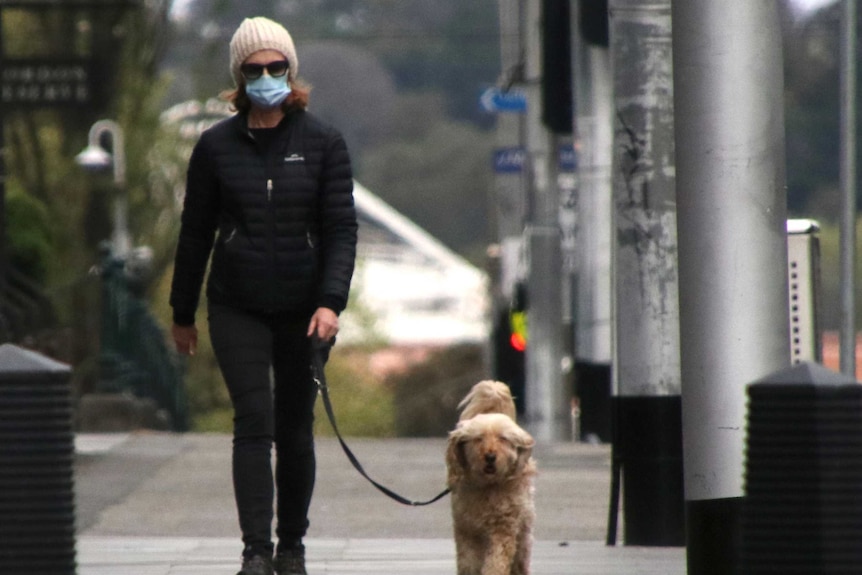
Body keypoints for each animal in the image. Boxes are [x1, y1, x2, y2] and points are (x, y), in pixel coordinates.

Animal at [448, 382, 536, 575]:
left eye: (502, 438)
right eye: (478, 438)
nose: (490, 456)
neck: (488, 487)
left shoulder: (503, 528)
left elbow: (496, 560)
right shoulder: (467, 530)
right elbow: (468, 562)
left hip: (522, 531)